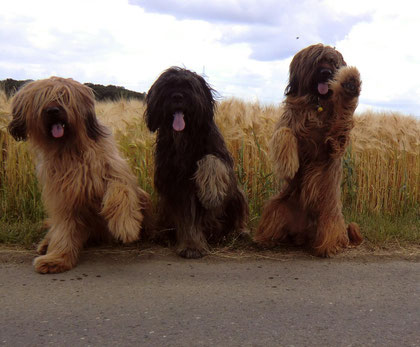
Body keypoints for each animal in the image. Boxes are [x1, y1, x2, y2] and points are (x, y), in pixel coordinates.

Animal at [7, 78, 151, 274]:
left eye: (64, 96)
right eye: (43, 97)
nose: (53, 110)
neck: (70, 149)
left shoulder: (115, 171)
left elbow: (120, 192)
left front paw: (126, 225)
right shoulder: (63, 197)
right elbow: (64, 228)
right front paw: (57, 258)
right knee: (54, 230)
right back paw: (45, 245)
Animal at [145, 67, 248, 258]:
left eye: (188, 85)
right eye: (168, 86)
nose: (177, 96)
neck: (184, 138)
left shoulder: (223, 161)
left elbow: (212, 160)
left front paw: (211, 194)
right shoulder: (175, 184)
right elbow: (188, 218)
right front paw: (191, 245)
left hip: (237, 196)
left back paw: (240, 231)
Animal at [254, 43, 362, 256]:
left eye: (333, 62)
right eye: (316, 61)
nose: (326, 72)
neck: (317, 103)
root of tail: (303, 233)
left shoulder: (334, 141)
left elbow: (342, 120)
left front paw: (349, 85)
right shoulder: (289, 121)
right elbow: (285, 132)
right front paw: (289, 165)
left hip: (329, 213)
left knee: (330, 229)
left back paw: (326, 247)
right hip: (278, 205)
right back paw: (264, 240)